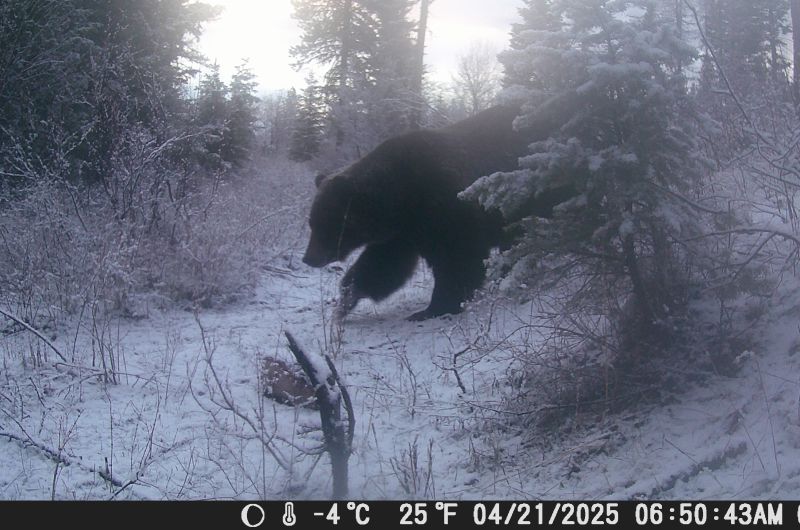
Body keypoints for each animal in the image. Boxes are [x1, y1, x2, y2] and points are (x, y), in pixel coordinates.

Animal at [302, 99, 576, 321]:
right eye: (312, 222)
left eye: (328, 223)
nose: (309, 258)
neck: (400, 198)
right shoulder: (403, 233)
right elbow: (383, 264)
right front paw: (345, 300)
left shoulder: (444, 205)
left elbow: (458, 257)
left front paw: (434, 308)